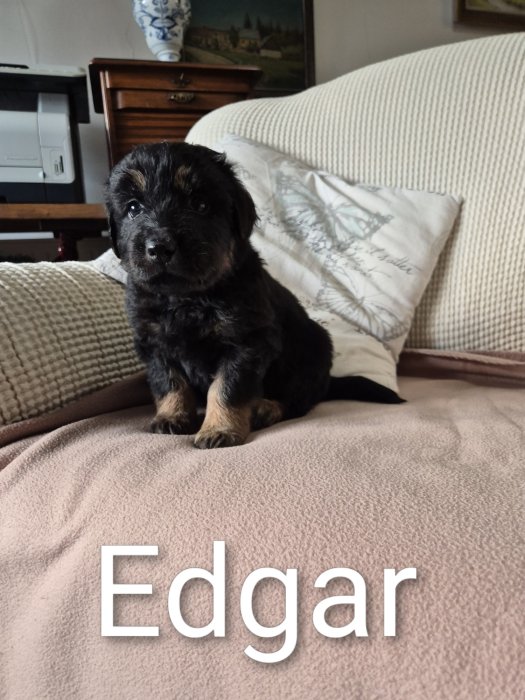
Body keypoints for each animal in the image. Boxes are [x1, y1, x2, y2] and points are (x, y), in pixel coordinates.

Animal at [105, 142, 402, 449]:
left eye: (200, 205)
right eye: (133, 208)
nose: (159, 247)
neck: (186, 298)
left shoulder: (247, 341)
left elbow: (226, 387)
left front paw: (219, 428)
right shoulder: (154, 344)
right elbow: (169, 383)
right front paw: (171, 417)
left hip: (313, 353)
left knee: (297, 400)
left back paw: (264, 408)